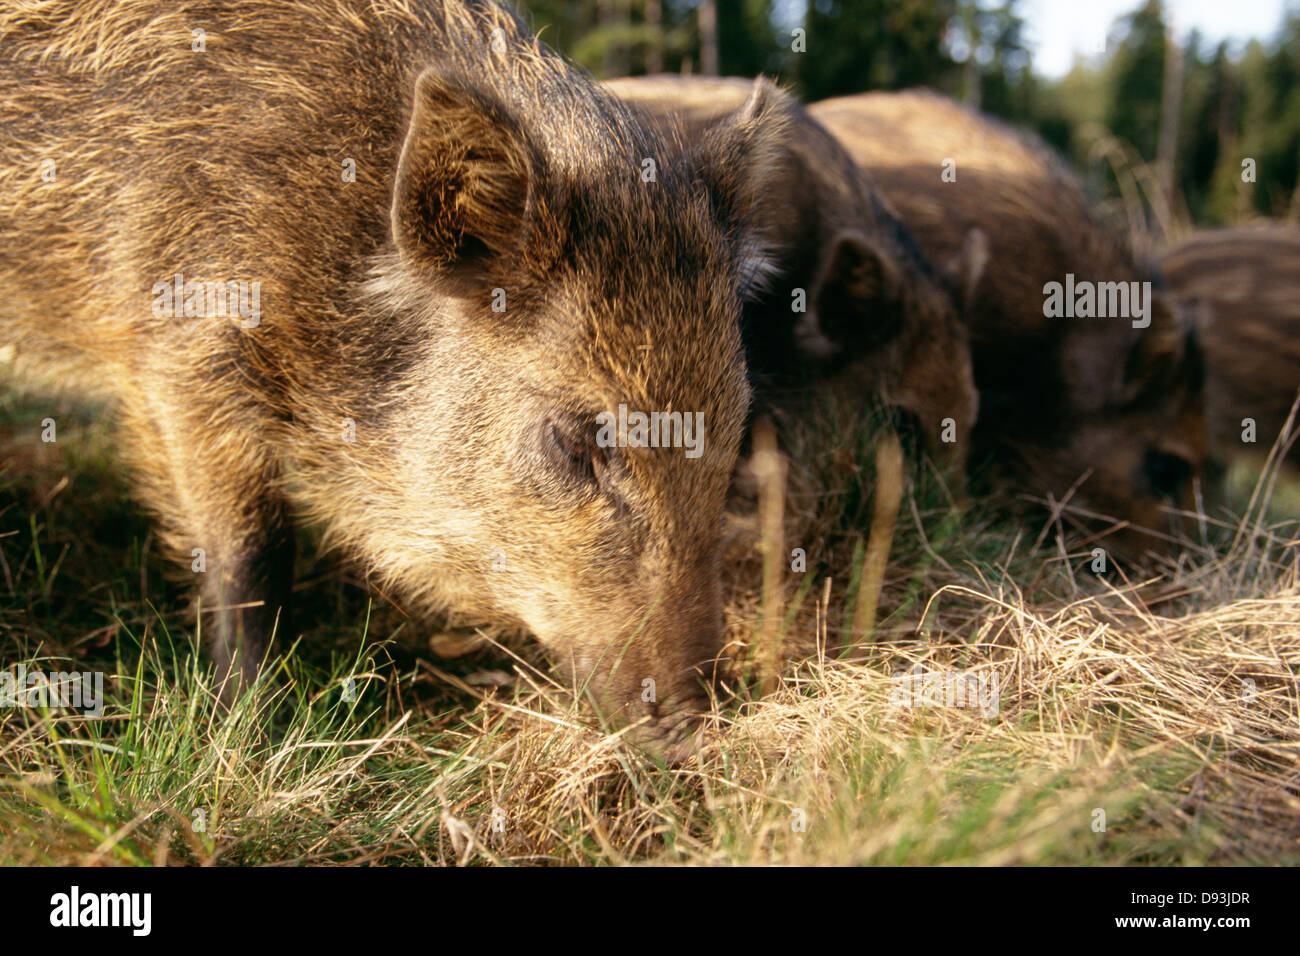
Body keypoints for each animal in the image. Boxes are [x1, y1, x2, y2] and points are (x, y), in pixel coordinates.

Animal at [0, 0, 799, 759]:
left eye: (735, 427)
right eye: (576, 441)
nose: (700, 733)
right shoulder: (181, 349)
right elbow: (247, 553)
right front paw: (249, 731)